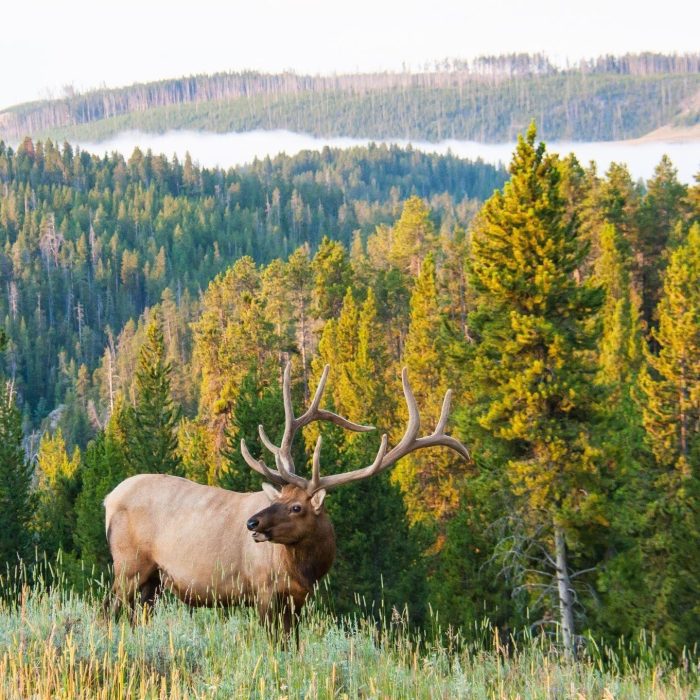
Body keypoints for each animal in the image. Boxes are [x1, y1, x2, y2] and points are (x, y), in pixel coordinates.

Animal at [103, 363, 469, 638]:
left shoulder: (298, 599)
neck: (305, 570)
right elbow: (274, 644)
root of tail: (108, 499)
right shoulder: (262, 590)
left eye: (297, 507)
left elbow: (292, 645)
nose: (252, 522)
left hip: (152, 579)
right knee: (111, 610)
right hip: (128, 564)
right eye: (280, 498)